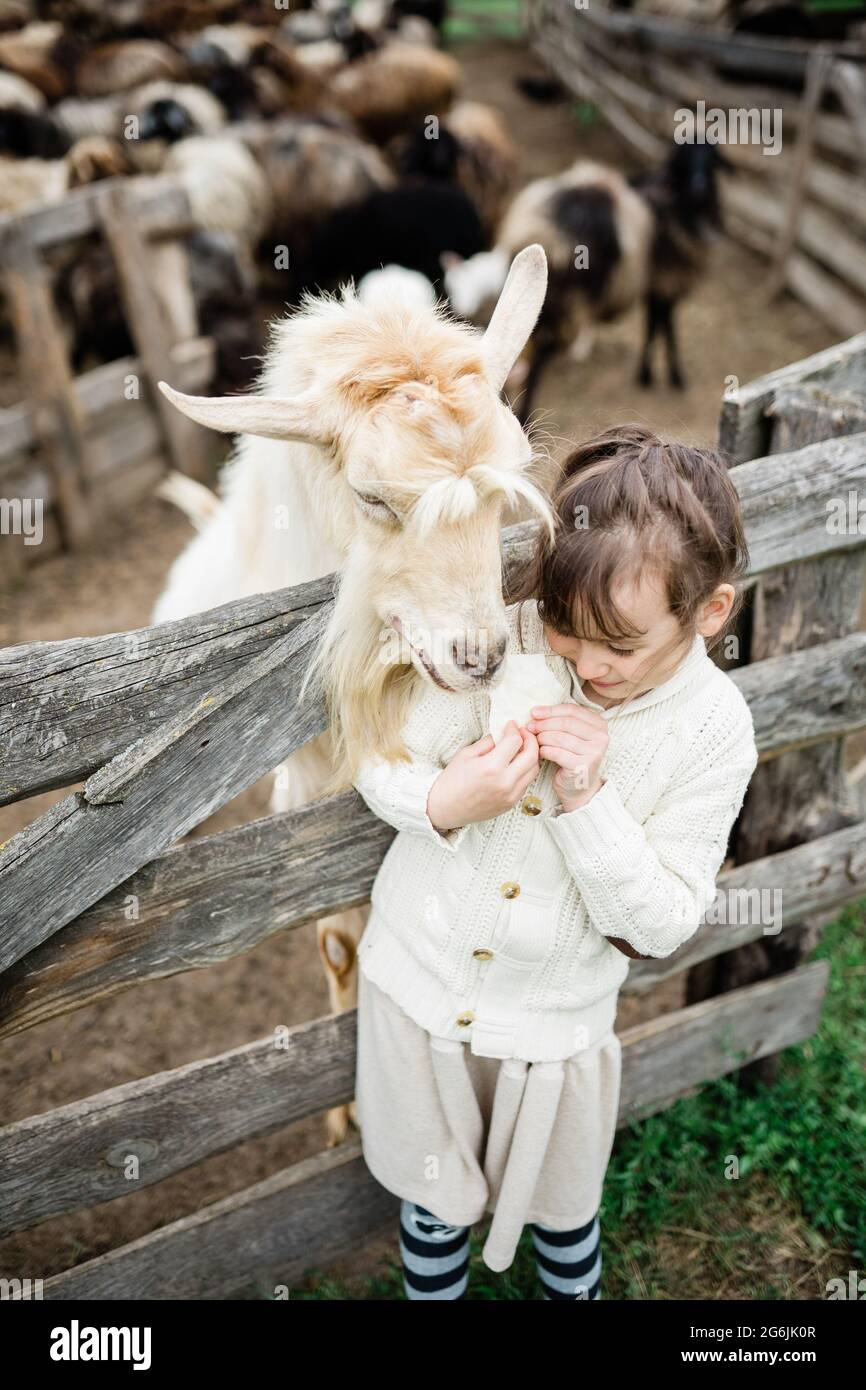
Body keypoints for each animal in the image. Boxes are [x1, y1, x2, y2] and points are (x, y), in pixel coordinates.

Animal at [151, 245, 554, 1144]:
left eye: (508, 486)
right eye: (373, 498)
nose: (480, 657)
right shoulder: (299, 788)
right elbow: (336, 938)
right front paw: (344, 1117)